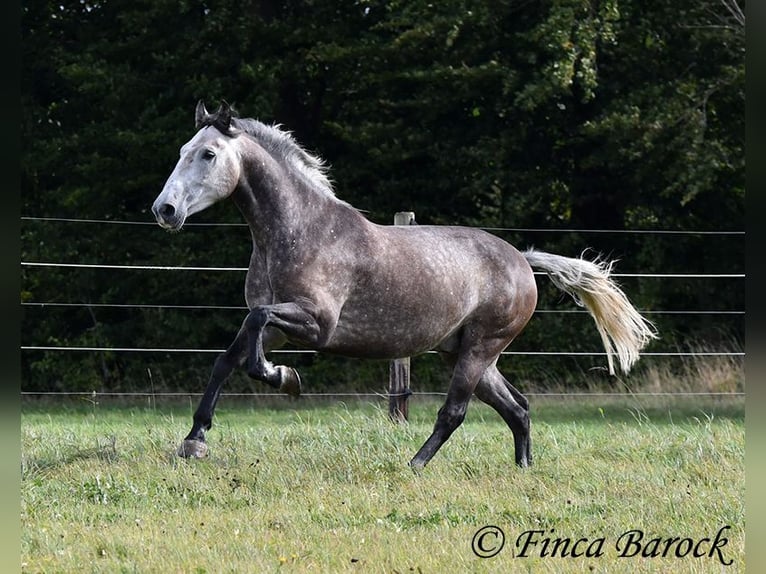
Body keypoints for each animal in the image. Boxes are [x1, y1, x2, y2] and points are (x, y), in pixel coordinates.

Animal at [153, 102, 656, 472]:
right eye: (181, 150)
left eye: (208, 154)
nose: (165, 210)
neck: (301, 230)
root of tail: (522, 259)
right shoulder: (279, 326)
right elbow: (227, 359)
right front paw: (194, 440)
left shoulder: (316, 324)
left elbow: (255, 343)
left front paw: (284, 378)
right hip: (466, 352)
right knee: (517, 407)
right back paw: (523, 470)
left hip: (480, 348)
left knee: (456, 412)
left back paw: (414, 466)